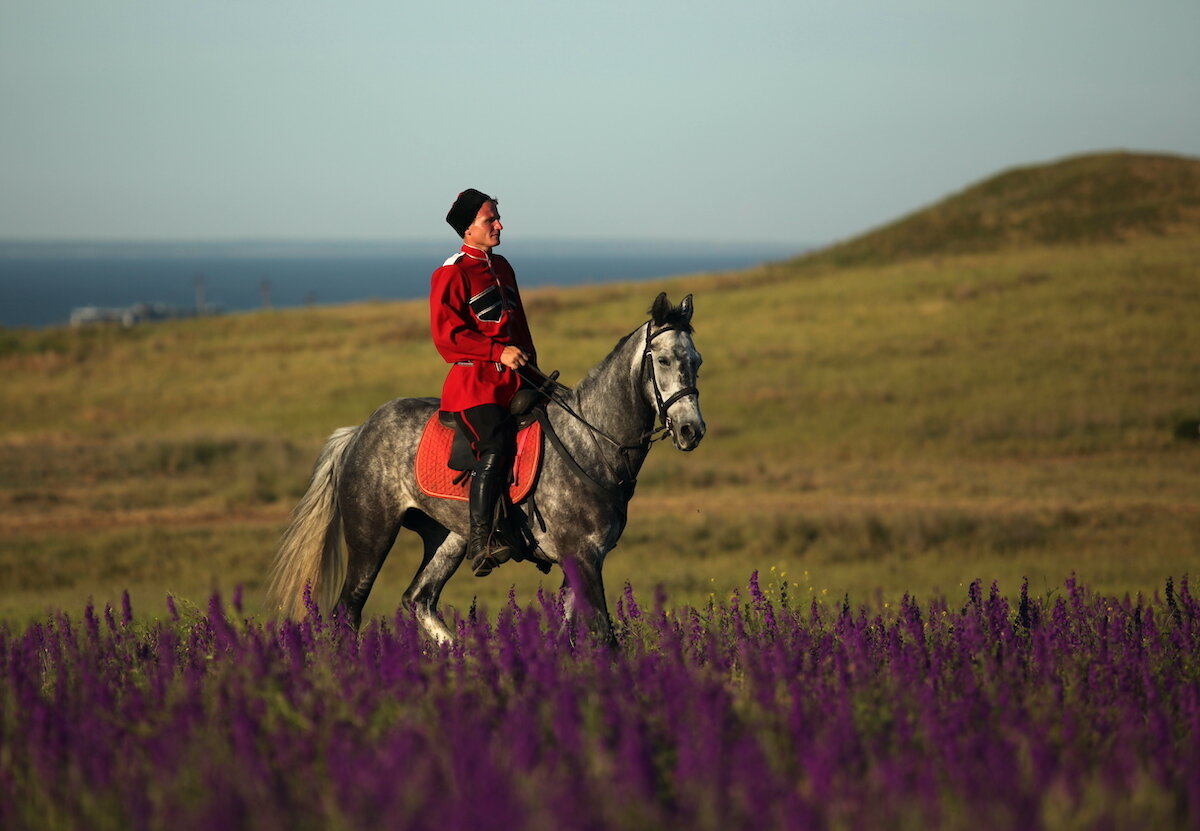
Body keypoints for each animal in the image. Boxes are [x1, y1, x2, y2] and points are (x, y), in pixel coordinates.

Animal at [267, 291, 700, 643]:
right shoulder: (583, 557)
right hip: (371, 537)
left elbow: (567, 635)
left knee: (418, 599)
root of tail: (360, 431)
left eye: (696, 361)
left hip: (448, 538)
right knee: (348, 611)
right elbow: (605, 636)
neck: (592, 441)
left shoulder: (581, 563)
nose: (691, 430)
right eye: (663, 359)